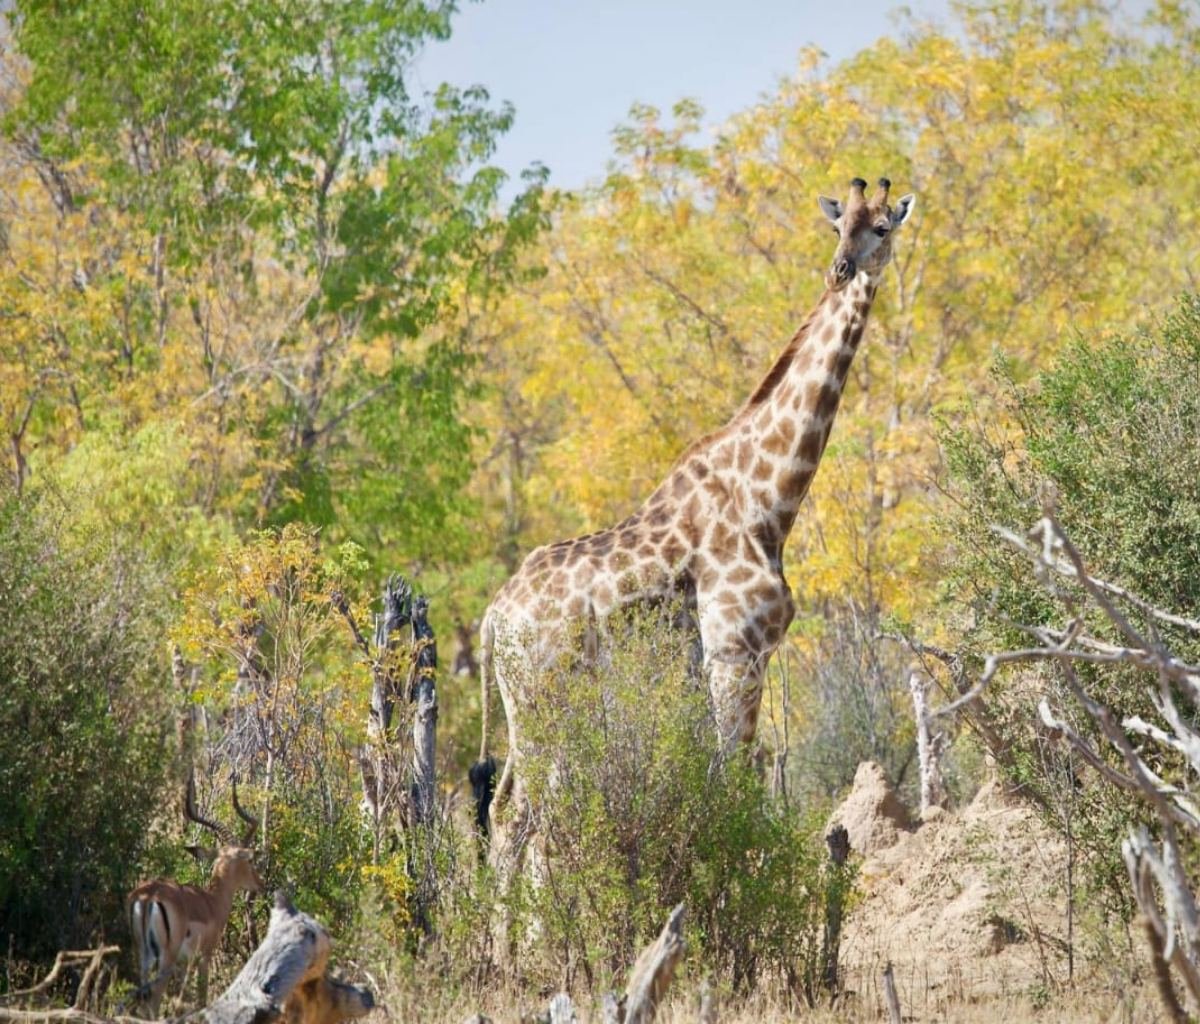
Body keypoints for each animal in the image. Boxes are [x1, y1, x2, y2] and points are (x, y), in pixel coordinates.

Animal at [474, 176, 915, 872]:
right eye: (838, 224)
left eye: (881, 228)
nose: (841, 269)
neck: (768, 499)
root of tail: (494, 617)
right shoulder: (733, 652)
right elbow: (730, 786)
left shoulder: (743, 657)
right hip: (544, 697)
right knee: (520, 812)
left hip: (535, 702)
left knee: (509, 813)